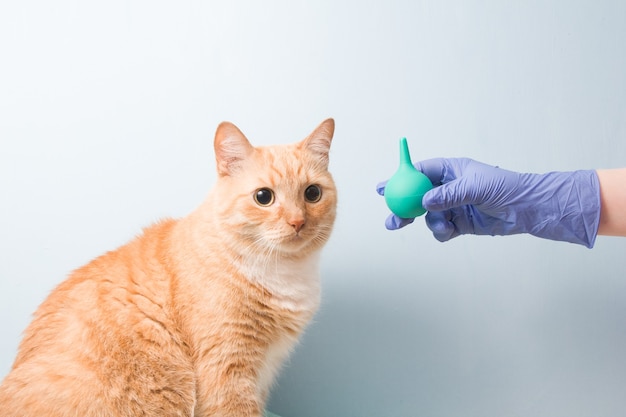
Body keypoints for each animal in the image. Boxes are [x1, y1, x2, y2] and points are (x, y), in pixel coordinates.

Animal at [0, 118, 336, 416]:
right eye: (263, 197)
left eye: (312, 193)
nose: (297, 222)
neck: (284, 271)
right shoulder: (227, 370)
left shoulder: (264, 371)